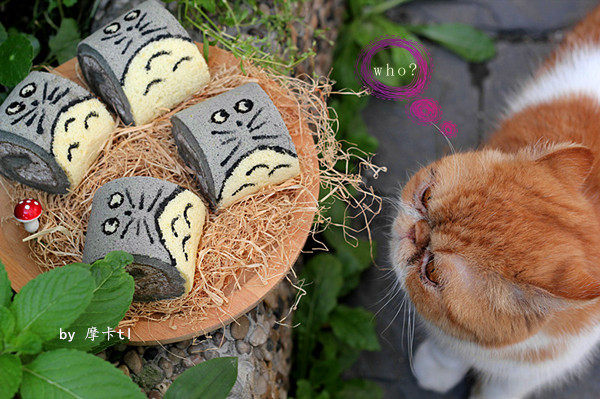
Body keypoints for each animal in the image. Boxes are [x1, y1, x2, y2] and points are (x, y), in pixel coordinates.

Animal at [392, 5, 600, 399]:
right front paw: (436, 370)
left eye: (431, 272)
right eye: (426, 196)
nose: (417, 230)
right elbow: (446, 350)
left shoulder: (528, 373)